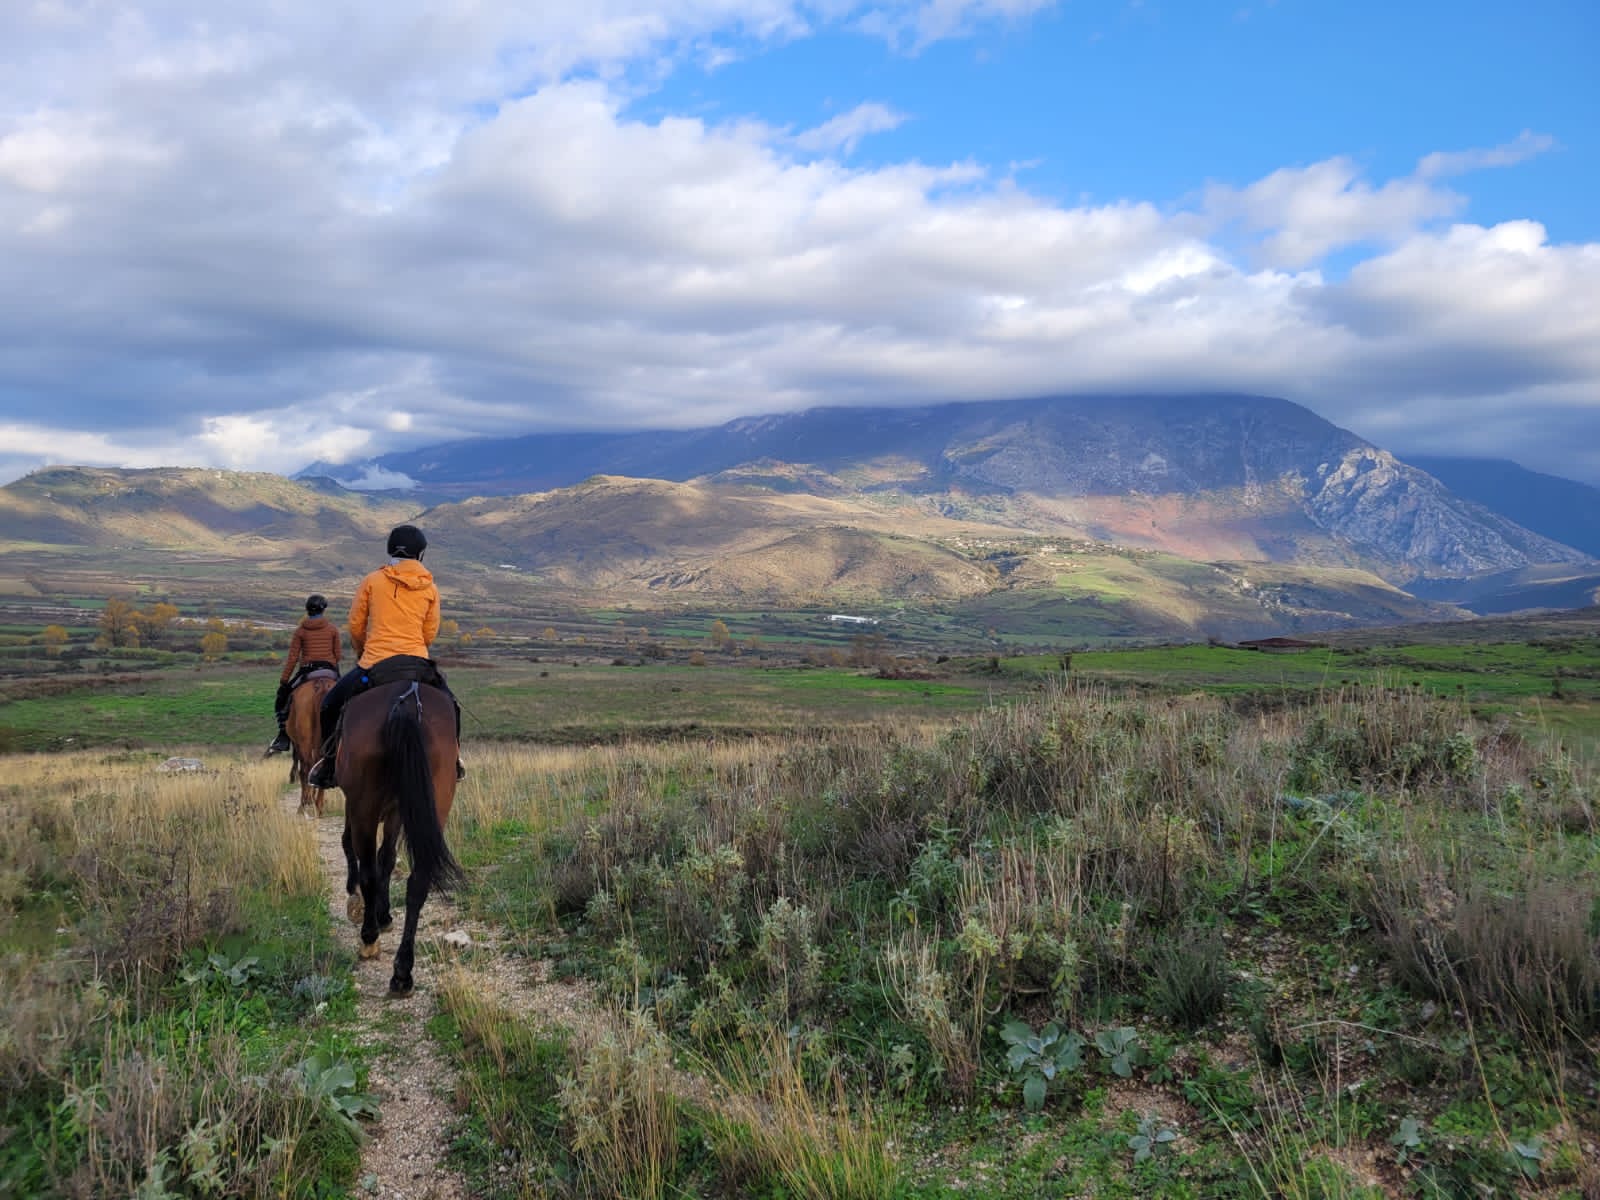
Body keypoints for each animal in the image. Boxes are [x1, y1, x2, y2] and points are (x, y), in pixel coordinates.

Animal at [286, 672, 336, 825]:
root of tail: (321, 684)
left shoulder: (299, 745)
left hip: (304, 742)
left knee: (305, 770)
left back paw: (303, 806)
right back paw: (318, 807)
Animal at [336, 681, 464, 998]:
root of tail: (405, 701)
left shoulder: (357, 807)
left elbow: (358, 851)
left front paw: (365, 907)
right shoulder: (396, 811)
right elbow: (388, 858)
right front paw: (384, 914)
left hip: (365, 807)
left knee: (369, 871)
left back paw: (369, 939)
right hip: (436, 799)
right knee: (417, 883)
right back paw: (403, 971)